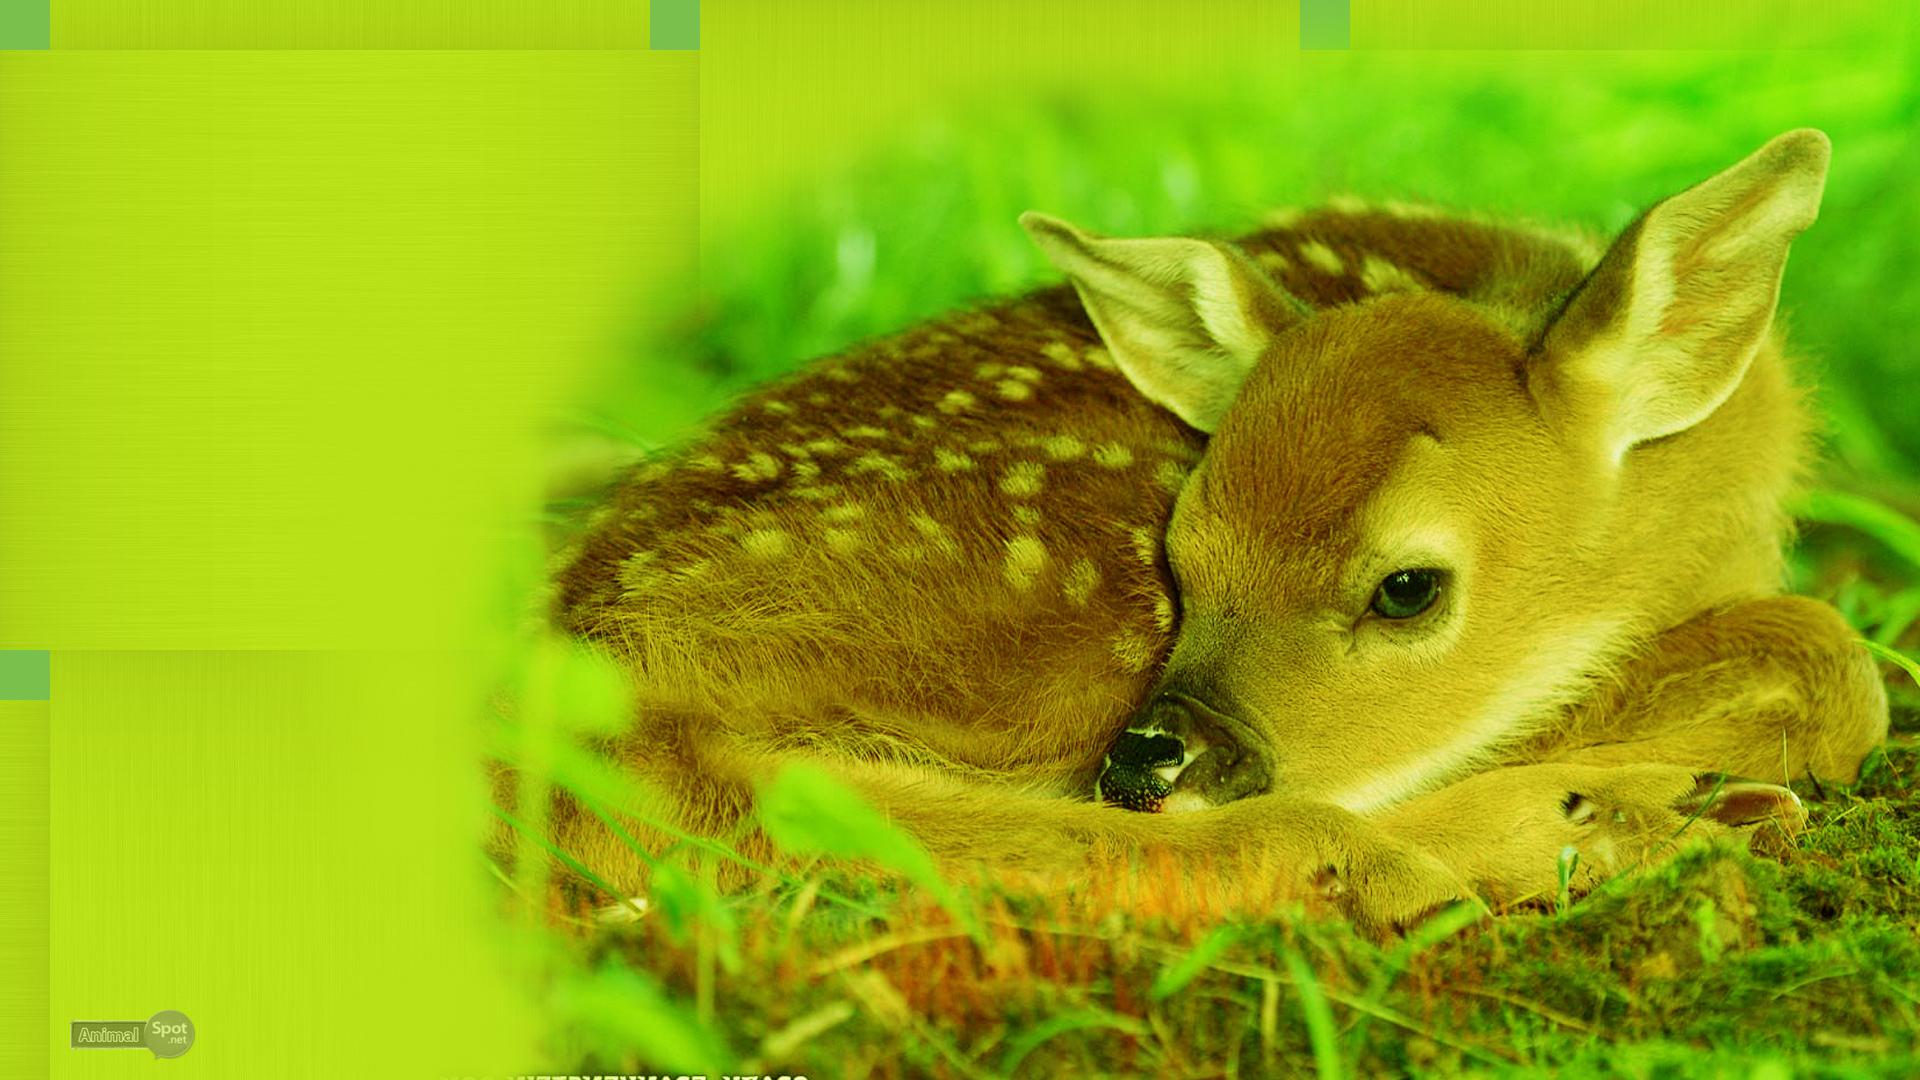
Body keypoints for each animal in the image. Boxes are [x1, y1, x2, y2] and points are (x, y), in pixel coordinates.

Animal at [534, 128, 1887, 933]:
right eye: (1183, 555)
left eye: (1407, 587)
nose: (1149, 760)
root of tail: (585, 664)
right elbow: (1836, 669)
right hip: (1036, 628)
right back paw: (1617, 829)